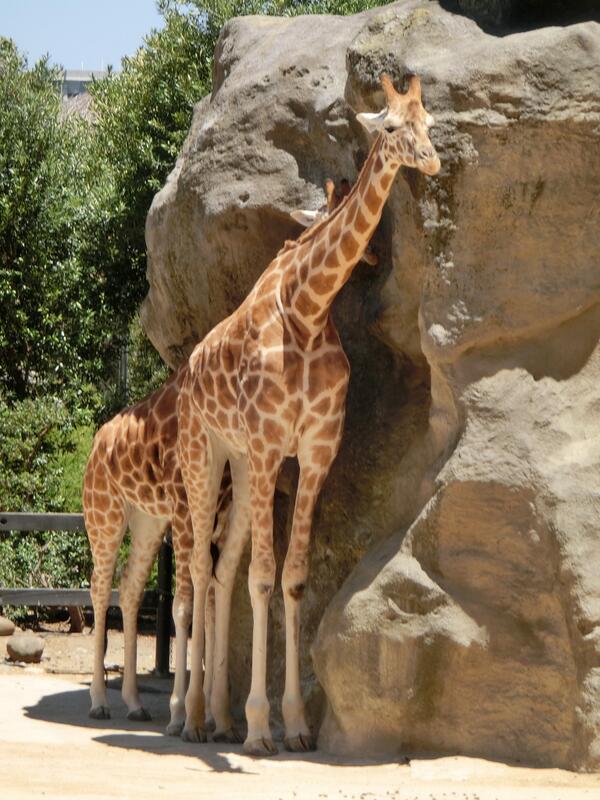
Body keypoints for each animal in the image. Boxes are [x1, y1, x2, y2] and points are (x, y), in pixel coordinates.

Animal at [83, 363, 240, 735]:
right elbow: (183, 609)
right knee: (99, 586)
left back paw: (135, 704)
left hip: (147, 523)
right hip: (105, 515)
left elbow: (210, 606)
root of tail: (96, 444)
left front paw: (210, 715)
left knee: (129, 588)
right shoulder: (184, 514)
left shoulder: (220, 522)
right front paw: (181, 714)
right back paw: (99, 702)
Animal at [176, 73, 440, 756]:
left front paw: (293, 724)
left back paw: (217, 716)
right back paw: (188, 717)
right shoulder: (273, 448)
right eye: (391, 127)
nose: (431, 161)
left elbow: (291, 578)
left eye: (429, 120)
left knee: (221, 570)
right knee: (197, 569)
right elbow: (263, 579)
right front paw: (260, 728)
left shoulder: (314, 453)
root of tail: (184, 374)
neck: (309, 308)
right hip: (205, 455)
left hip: (244, 470)